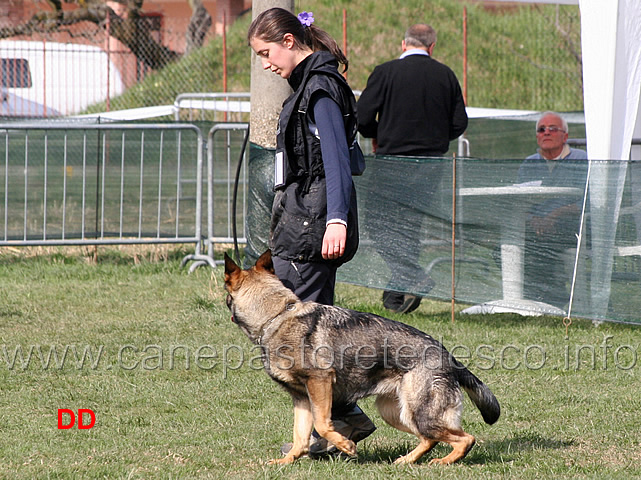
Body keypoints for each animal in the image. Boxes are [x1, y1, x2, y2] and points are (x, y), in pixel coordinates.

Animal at [225, 251, 500, 464]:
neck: (276, 315)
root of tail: (447, 355)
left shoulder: (320, 383)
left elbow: (323, 424)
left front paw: (346, 445)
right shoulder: (302, 398)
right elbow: (299, 437)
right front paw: (286, 462)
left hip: (421, 414)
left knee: (465, 438)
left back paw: (443, 462)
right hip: (395, 413)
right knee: (429, 439)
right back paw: (407, 461)